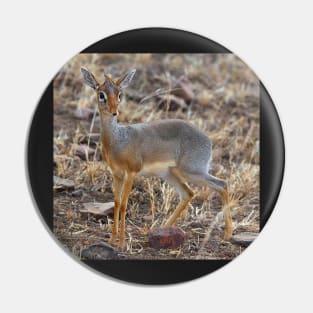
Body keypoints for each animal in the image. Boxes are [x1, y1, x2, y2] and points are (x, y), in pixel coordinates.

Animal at [80, 67, 232, 249]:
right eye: (101, 94)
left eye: (119, 94)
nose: (114, 111)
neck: (118, 140)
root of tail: (208, 140)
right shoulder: (116, 174)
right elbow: (116, 203)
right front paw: (111, 240)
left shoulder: (131, 173)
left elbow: (124, 205)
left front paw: (122, 243)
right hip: (170, 174)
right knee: (188, 193)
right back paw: (162, 229)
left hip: (192, 171)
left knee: (222, 184)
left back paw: (227, 234)